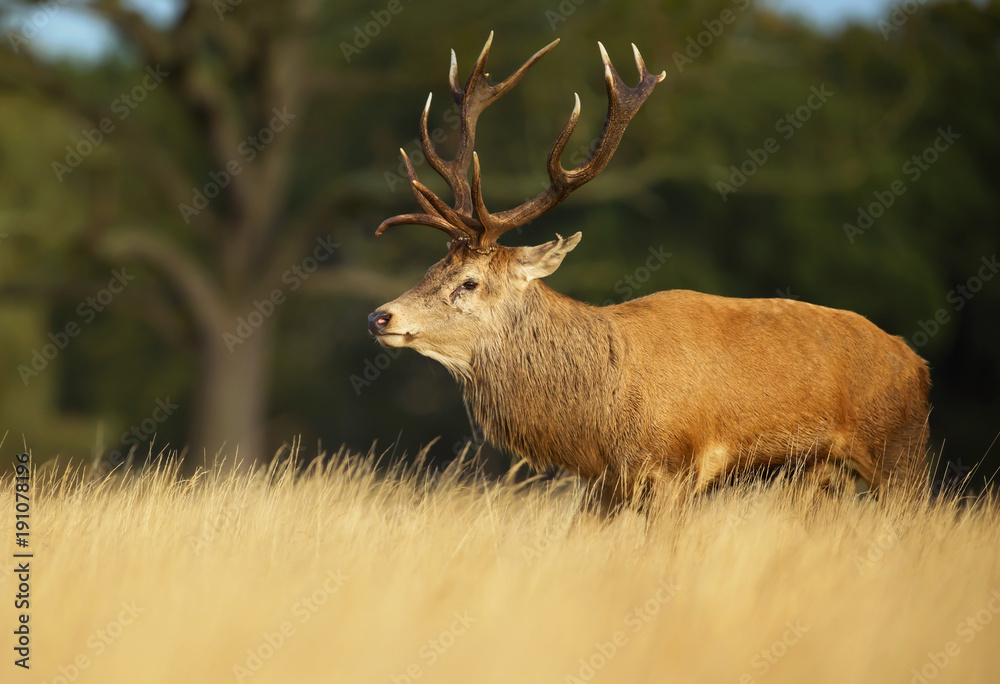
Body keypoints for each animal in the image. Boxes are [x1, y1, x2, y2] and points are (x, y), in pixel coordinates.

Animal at [368, 33, 931, 514]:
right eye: (431, 267)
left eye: (469, 282)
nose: (379, 317)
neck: (602, 416)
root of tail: (917, 363)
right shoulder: (604, 485)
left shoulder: (677, 468)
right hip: (823, 477)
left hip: (901, 455)